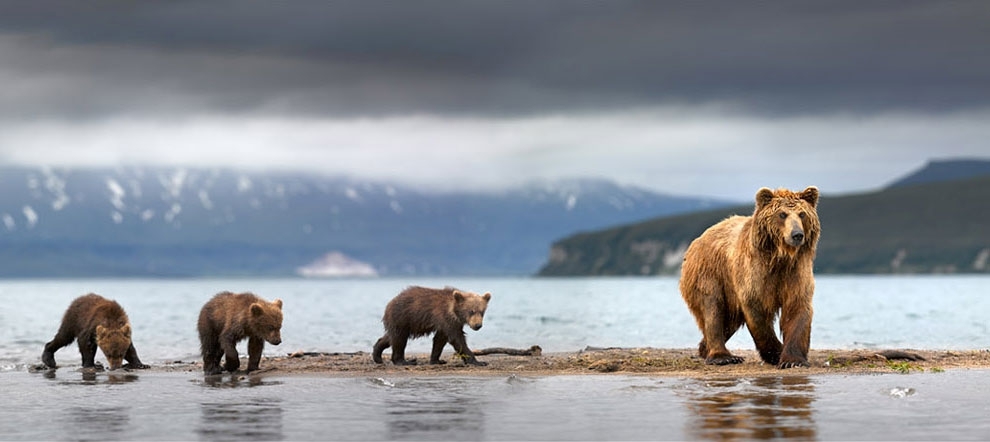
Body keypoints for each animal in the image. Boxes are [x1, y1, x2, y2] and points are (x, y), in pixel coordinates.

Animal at [680, 185, 820, 368]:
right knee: (713, 308)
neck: (779, 257)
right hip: (709, 273)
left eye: (802, 214)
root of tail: (698, 240)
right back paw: (723, 356)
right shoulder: (755, 273)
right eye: (782, 214)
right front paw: (775, 352)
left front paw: (792, 360)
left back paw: (705, 349)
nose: (797, 235)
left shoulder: (795, 272)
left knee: (727, 322)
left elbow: (797, 307)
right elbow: (756, 310)